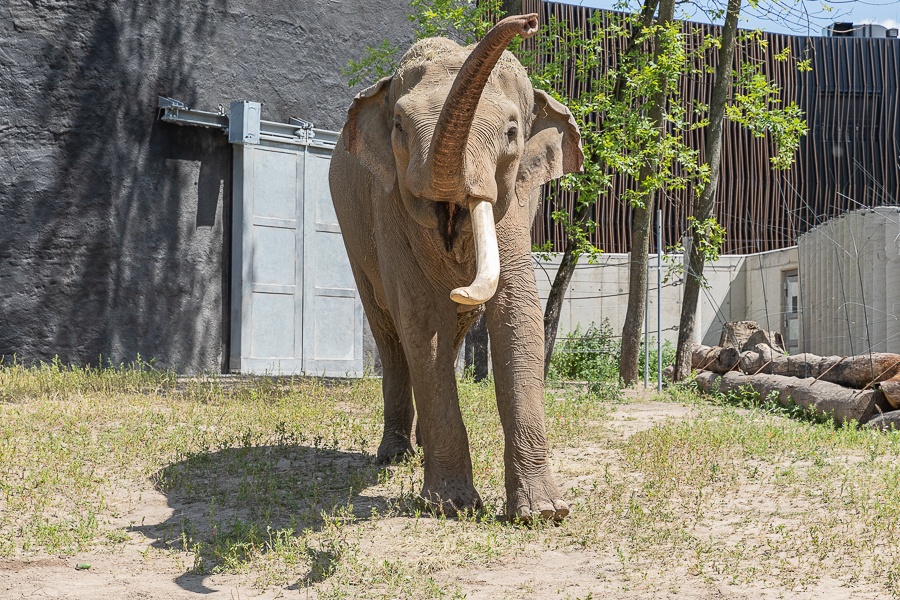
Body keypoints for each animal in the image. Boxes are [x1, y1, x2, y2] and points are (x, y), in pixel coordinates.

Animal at [330, 14, 584, 520]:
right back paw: (395, 455)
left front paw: (544, 513)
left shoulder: (516, 199)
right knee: (391, 335)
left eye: (512, 132)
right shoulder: (388, 201)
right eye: (399, 127)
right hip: (354, 236)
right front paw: (451, 507)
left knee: (446, 337)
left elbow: (518, 316)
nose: (528, 22)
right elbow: (420, 318)